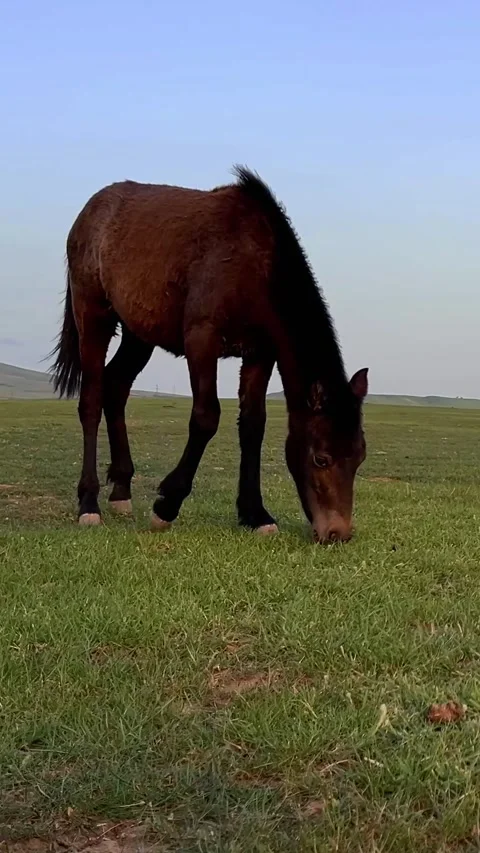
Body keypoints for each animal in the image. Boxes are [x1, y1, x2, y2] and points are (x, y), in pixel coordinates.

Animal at [51, 167, 368, 543]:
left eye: (359, 457)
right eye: (321, 459)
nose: (337, 532)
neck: (255, 263)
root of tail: (88, 213)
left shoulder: (261, 353)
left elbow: (253, 425)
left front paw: (255, 513)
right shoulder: (201, 340)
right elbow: (206, 418)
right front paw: (166, 505)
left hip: (138, 334)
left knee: (115, 388)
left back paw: (121, 492)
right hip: (93, 316)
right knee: (90, 400)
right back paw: (89, 503)